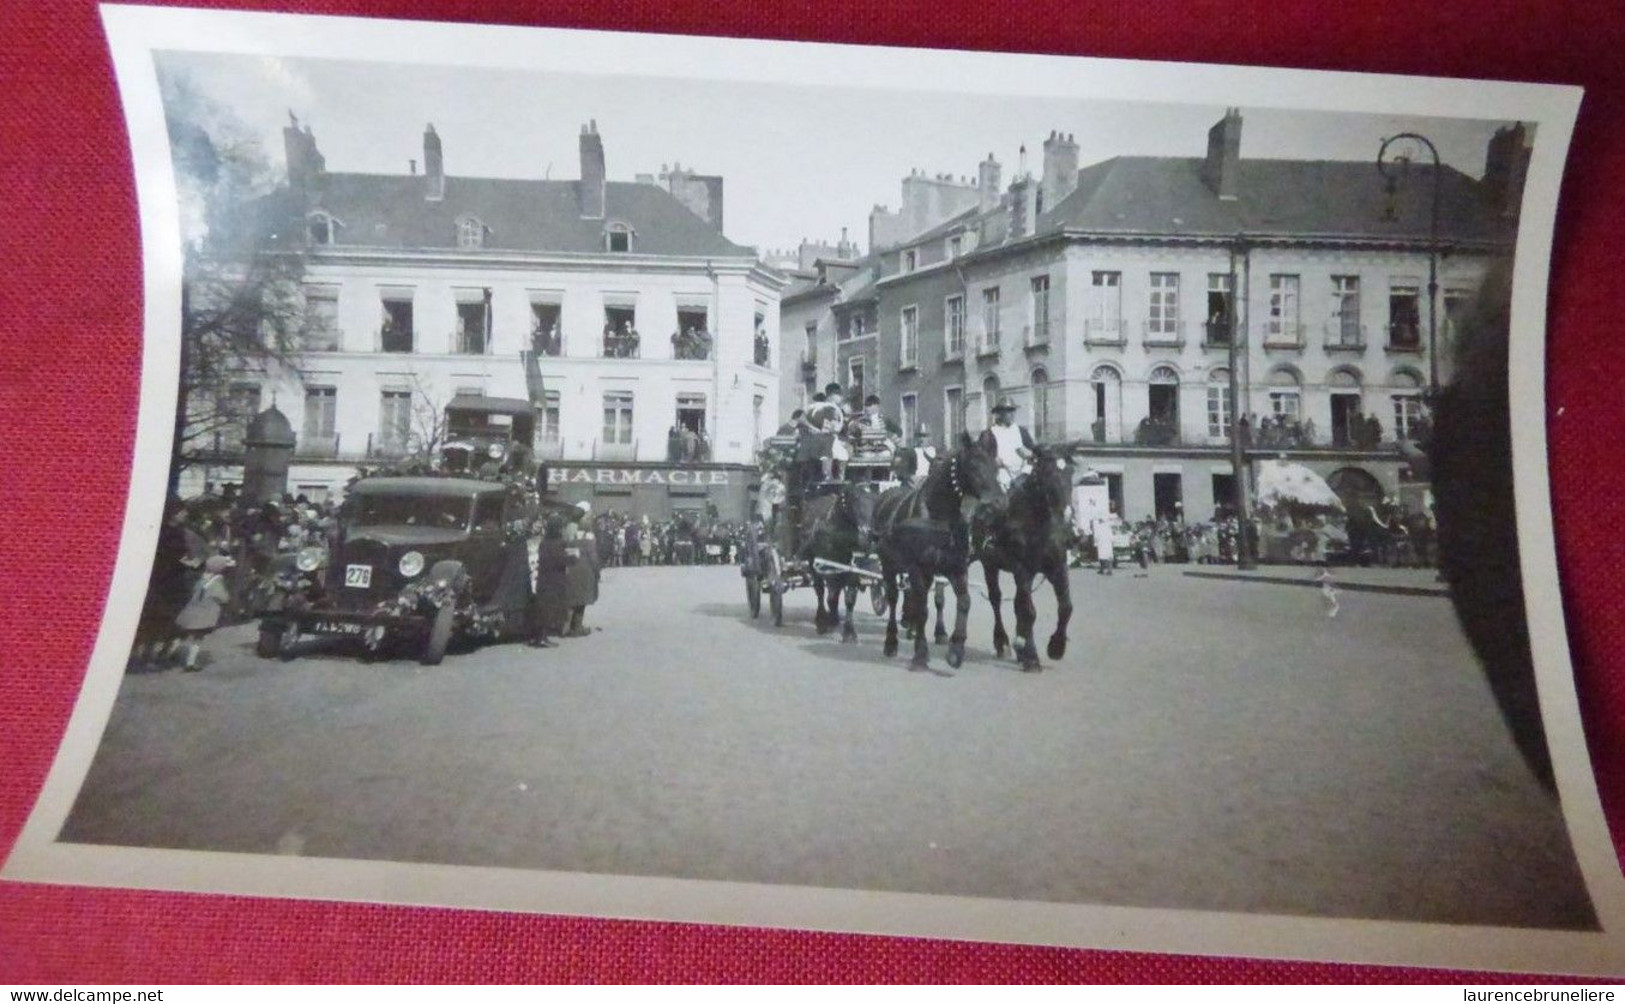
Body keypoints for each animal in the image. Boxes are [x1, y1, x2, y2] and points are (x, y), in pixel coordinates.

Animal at [796, 477, 877, 640]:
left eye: (874, 502)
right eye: (854, 500)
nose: (867, 536)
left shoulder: (852, 569)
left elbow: (849, 598)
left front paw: (849, 632)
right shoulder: (826, 566)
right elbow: (829, 595)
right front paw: (825, 622)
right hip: (813, 563)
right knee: (820, 591)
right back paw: (822, 619)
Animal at [877, 435, 1001, 669]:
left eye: (997, 466)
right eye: (973, 465)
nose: (997, 503)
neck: (940, 517)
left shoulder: (956, 567)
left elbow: (963, 602)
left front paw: (955, 649)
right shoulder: (917, 568)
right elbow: (923, 608)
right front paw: (920, 654)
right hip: (889, 566)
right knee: (893, 597)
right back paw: (891, 641)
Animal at [975, 445, 1079, 666]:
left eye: (1070, 471)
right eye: (1047, 472)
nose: (1068, 514)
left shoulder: (1057, 567)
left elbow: (1066, 607)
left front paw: (1056, 646)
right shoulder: (1022, 568)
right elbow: (1028, 610)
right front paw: (1031, 656)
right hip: (989, 564)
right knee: (996, 599)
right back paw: (1003, 641)